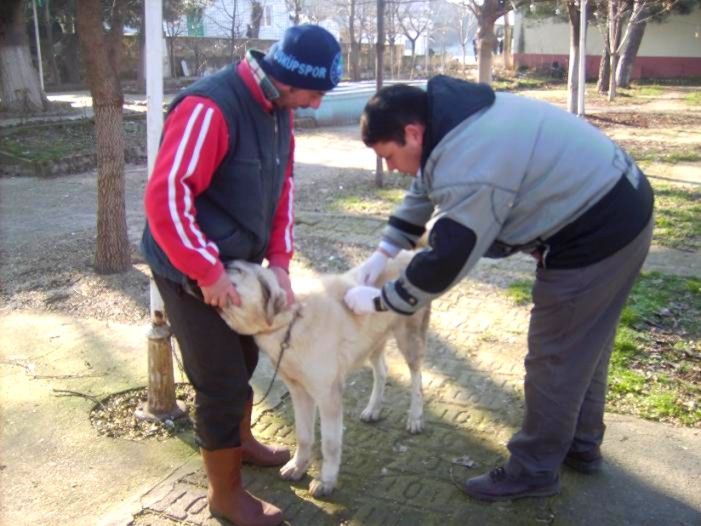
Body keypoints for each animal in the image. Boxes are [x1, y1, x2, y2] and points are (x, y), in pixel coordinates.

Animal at [219, 255, 430, 500]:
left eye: (236, 269)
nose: (219, 261)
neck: (291, 321)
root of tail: (407, 255)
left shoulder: (328, 396)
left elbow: (329, 443)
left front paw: (326, 481)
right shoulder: (299, 392)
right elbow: (303, 435)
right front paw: (298, 466)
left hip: (408, 340)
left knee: (417, 379)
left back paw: (415, 417)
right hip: (371, 343)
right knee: (382, 370)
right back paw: (373, 409)